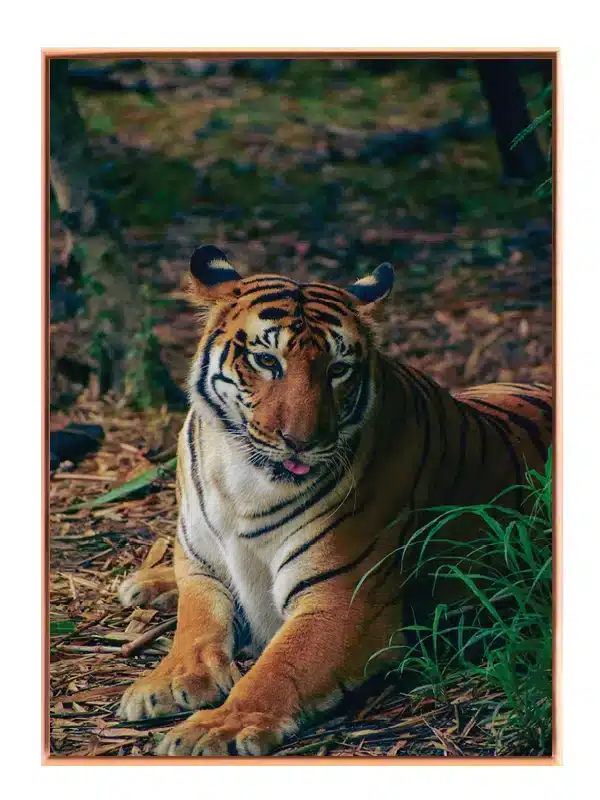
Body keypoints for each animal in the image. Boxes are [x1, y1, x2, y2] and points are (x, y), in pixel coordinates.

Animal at [116, 245, 552, 756]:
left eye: (337, 370)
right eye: (266, 360)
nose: (301, 442)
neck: (243, 481)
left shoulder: (341, 600)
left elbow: (276, 671)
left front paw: (216, 727)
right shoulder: (203, 566)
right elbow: (195, 624)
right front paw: (166, 682)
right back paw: (147, 581)